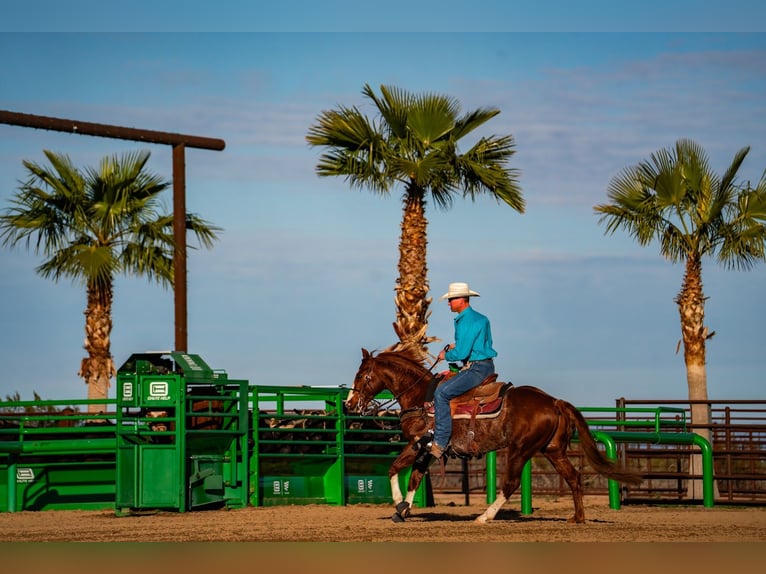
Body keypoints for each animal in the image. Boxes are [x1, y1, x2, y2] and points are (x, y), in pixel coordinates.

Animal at [345, 345, 643, 524]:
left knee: (511, 483)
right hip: (552, 450)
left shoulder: (418, 443)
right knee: (573, 477)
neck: (421, 397)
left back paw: (484, 516)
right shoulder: (429, 449)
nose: (349, 403)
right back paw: (577, 518)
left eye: (361, 376)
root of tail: (554, 401)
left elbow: (394, 468)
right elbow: (414, 477)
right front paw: (404, 509)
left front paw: (398, 506)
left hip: (520, 450)